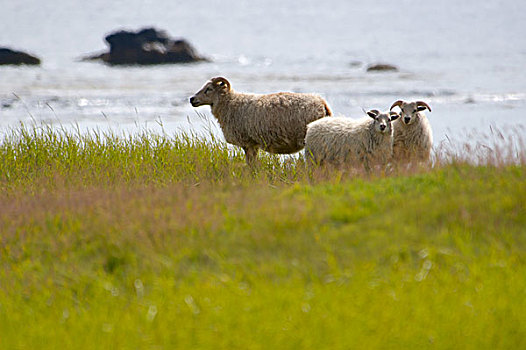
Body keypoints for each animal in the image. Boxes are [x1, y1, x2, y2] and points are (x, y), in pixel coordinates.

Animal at [189, 76, 334, 164]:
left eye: (209, 89)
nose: (191, 99)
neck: (230, 103)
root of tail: (321, 103)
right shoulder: (252, 144)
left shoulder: (247, 142)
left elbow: (251, 164)